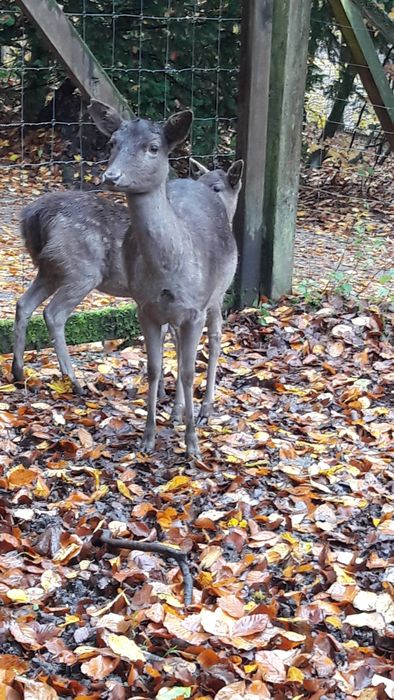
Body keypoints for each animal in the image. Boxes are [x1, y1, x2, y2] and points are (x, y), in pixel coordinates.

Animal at [11, 159, 243, 408]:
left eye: (216, 187)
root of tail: (32, 217)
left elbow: (163, 336)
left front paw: (162, 391)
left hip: (50, 269)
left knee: (24, 304)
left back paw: (19, 372)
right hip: (81, 271)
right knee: (53, 314)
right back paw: (74, 382)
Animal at [87, 100, 239, 460]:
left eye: (153, 147)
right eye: (112, 142)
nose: (111, 176)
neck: (168, 273)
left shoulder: (195, 308)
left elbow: (187, 370)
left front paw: (193, 446)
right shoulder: (144, 307)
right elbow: (155, 368)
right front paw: (147, 438)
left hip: (219, 292)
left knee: (216, 339)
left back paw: (205, 409)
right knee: (179, 345)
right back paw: (178, 411)